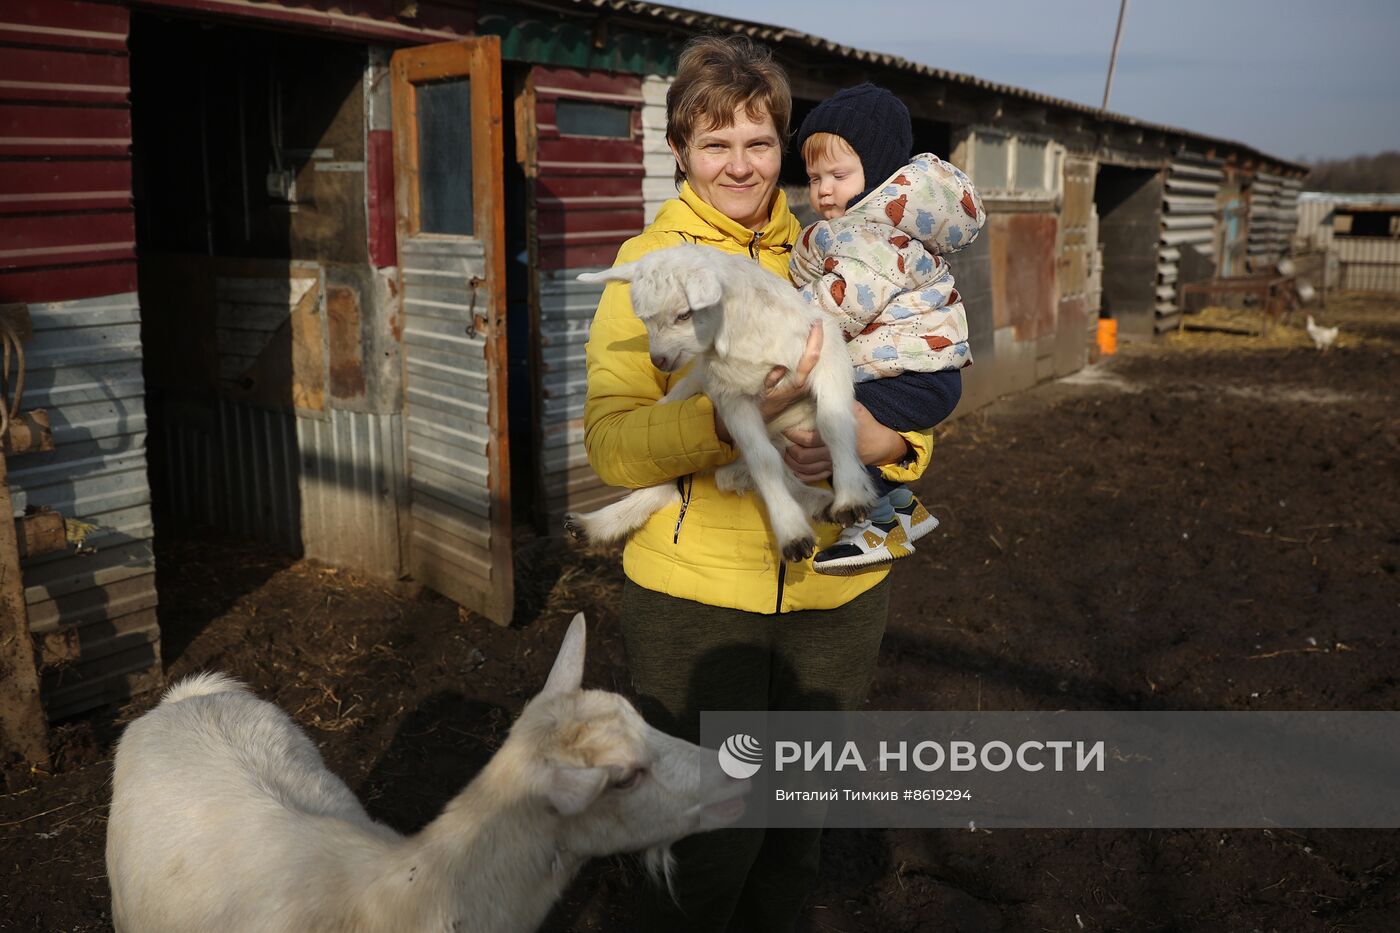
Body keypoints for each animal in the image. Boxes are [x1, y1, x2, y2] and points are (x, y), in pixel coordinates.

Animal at [560, 240, 868, 560]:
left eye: (684, 314)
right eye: (644, 320)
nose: (659, 360)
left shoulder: (826, 350)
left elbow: (833, 425)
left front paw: (850, 498)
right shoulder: (730, 396)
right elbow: (763, 460)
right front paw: (792, 533)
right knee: (691, 480)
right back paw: (592, 524)